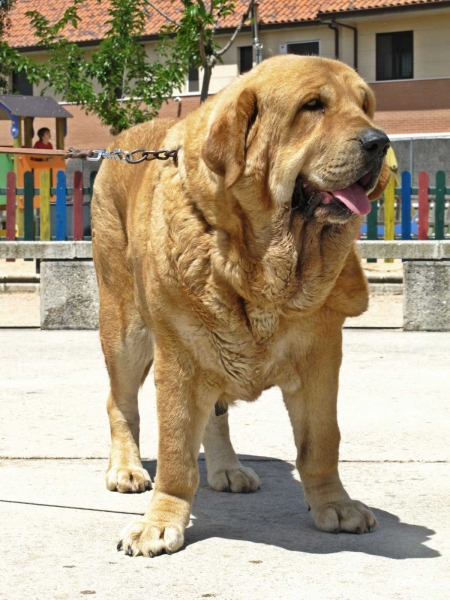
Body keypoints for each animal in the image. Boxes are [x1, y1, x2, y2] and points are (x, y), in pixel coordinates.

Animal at [91, 55, 390, 556]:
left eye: (365, 106)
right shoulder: (179, 358)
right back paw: (126, 468)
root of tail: (118, 145)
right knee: (121, 403)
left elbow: (321, 442)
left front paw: (335, 504)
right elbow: (175, 453)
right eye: (313, 106)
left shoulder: (320, 358)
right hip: (126, 334)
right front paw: (160, 521)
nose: (380, 141)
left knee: (216, 418)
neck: (263, 259)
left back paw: (227, 468)